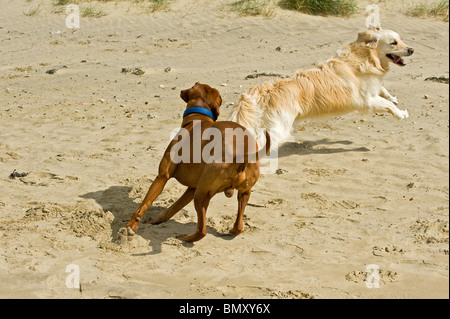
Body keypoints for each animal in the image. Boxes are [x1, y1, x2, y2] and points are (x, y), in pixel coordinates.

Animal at [122, 82, 270, 242]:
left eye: (194, 84)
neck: (198, 118)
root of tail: (242, 156)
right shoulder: (192, 189)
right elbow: (172, 208)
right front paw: (156, 220)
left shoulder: (163, 176)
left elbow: (144, 204)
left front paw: (131, 226)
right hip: (241, 193)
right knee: (238, 227)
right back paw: (229, 230)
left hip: (201, 193)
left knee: (202, 231)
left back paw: (184, 238)